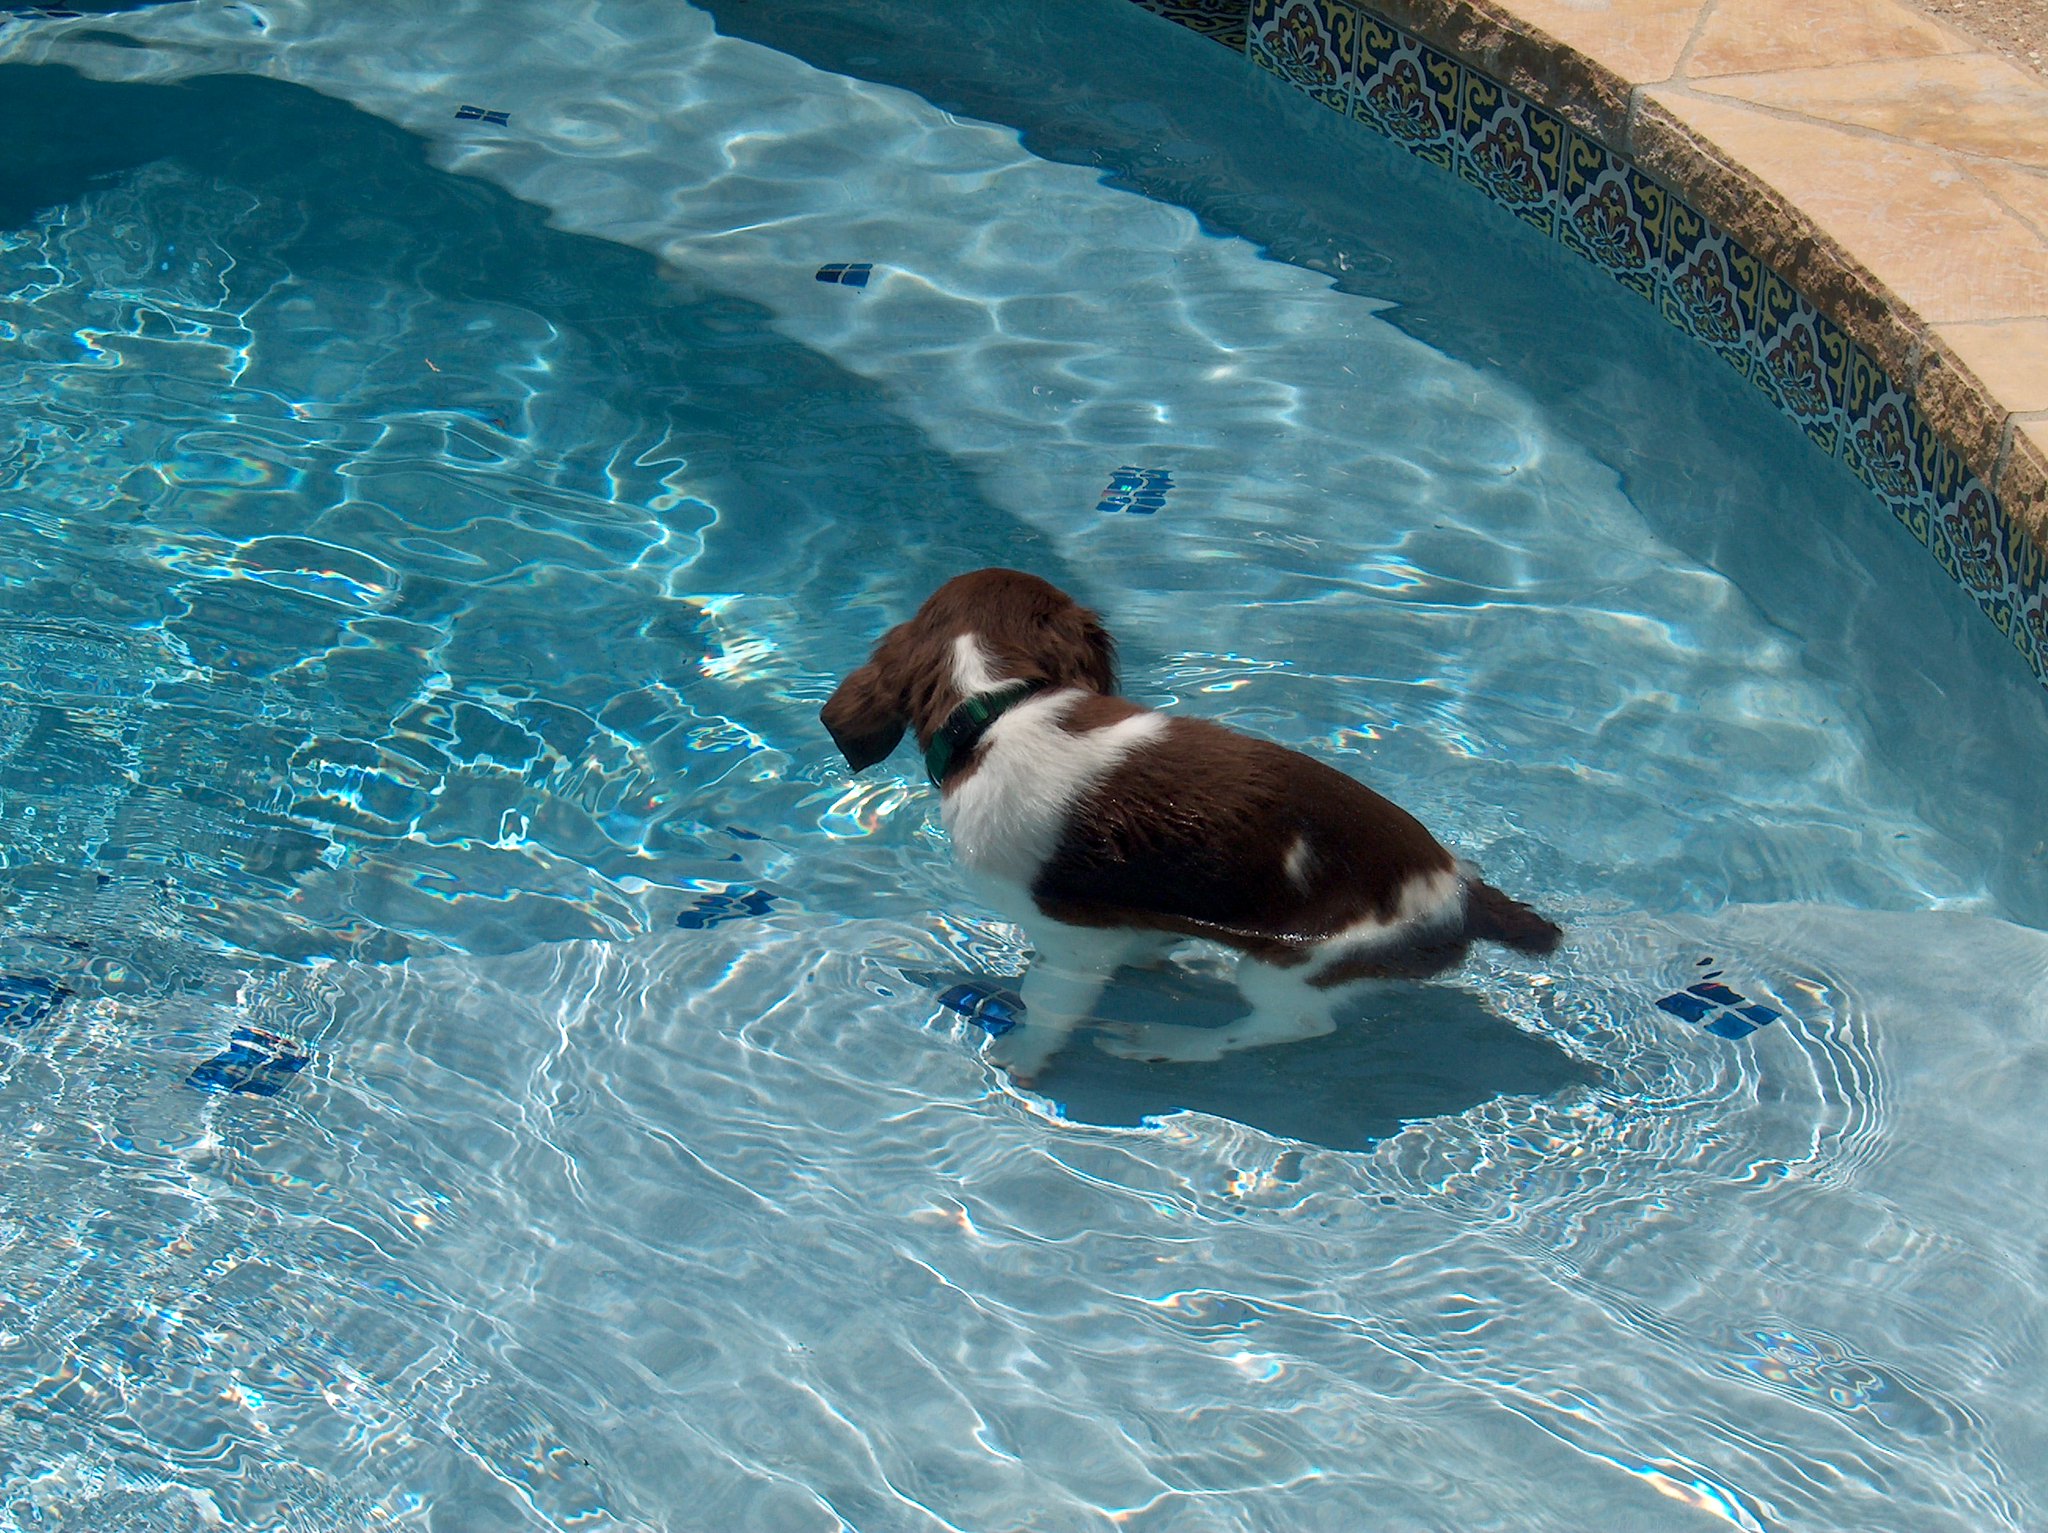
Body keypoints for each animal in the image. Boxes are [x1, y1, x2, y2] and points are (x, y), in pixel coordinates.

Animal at [823, 568, 1556, 1080]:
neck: (997, 706)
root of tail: (1462, 894)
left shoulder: (1070, 941)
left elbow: (1051, 1006)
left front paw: (1022, 1054)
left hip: (1295, 964)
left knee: (1292, 1024)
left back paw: (1168, 1043)